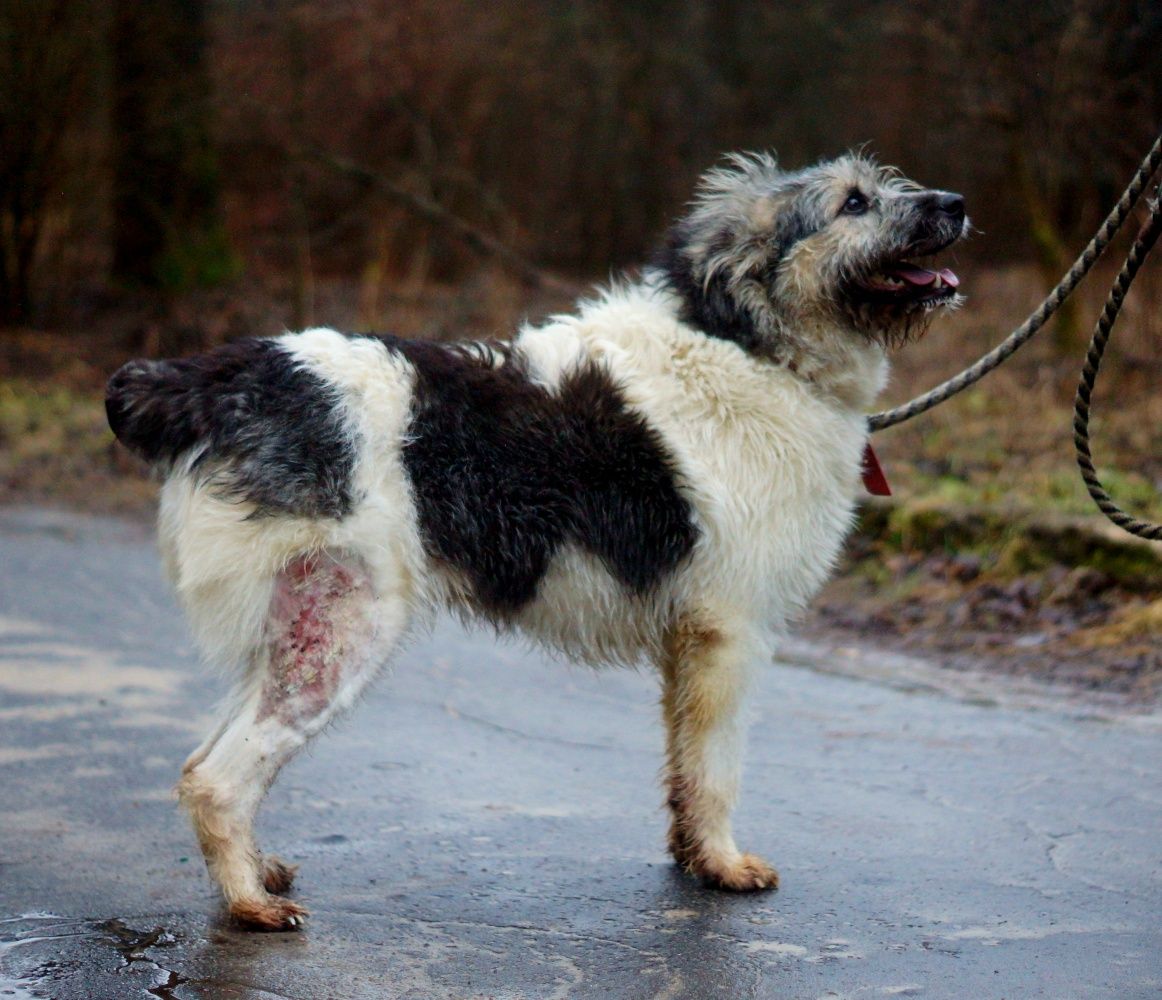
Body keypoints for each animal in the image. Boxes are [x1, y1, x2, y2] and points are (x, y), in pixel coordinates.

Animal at [106, 149, 962, 929]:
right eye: (854, 202)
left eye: (885, 185)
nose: (954, 203)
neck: (755, 348)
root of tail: (214, 379)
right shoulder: (729, 632)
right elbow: (717, 769)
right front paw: (722, 865)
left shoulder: (690, 642)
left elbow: (685, 768)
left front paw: (692, 858)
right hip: (342, 629)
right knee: (216, 778)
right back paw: (249, 904)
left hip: (295, 626)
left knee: (206, 759)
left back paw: (255, 872)